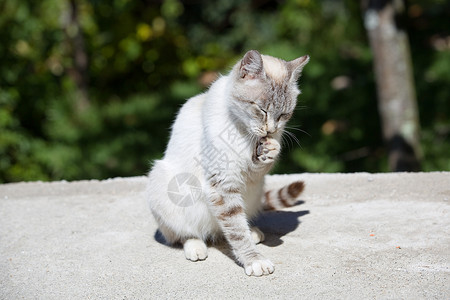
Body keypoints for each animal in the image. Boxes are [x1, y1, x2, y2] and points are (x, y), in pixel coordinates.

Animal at [148, 49, 310, 276]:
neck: (245, 134)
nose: (270, 130)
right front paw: (254, 261)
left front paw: (271, 149)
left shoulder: (253, 174)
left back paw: (253, 232)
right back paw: (196, 247)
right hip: (161, 180)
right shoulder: (223, 183)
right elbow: (236, 231)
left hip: (255, 192)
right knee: (184, 234)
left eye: (284, 114)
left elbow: (260, 165)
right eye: (262, 109)